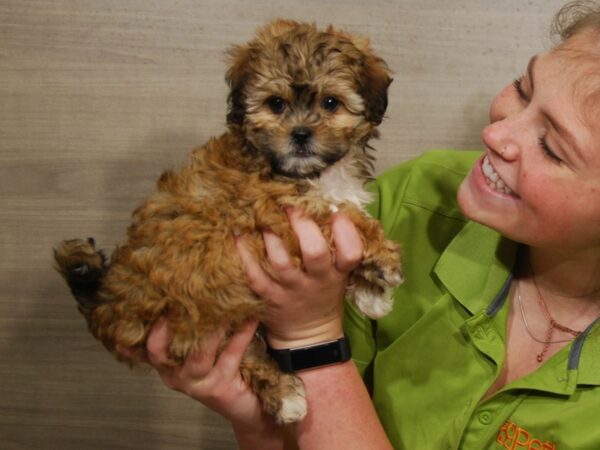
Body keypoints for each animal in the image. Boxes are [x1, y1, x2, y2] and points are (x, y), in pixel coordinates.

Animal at [55, 18, 404, 426]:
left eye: (330, 103)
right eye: (276, 104)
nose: (300, 134)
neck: (311, 172)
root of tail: (105, 300)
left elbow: (348, 214)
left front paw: (371, 293)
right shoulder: (274, 212)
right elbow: (341, 218)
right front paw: (383, 261)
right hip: (200, 312)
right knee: (242, 356)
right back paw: (285, 395)